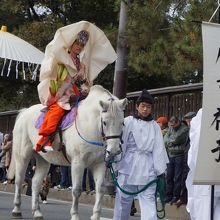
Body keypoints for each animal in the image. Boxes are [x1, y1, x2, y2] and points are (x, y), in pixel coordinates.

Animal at [7, 85, 127, 219]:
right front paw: (74, 215)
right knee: (19, 180)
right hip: (22, 155)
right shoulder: (78, 163)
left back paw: (37, 212)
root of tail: (24, 112)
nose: (114, 150)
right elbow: (76, 190)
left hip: (43, 159)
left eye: (122, 123)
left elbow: (100, 189)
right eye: (105, 122)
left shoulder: (99, 163)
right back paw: (17, 210)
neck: (91, 126)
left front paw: (96, 216)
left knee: (36, 183)